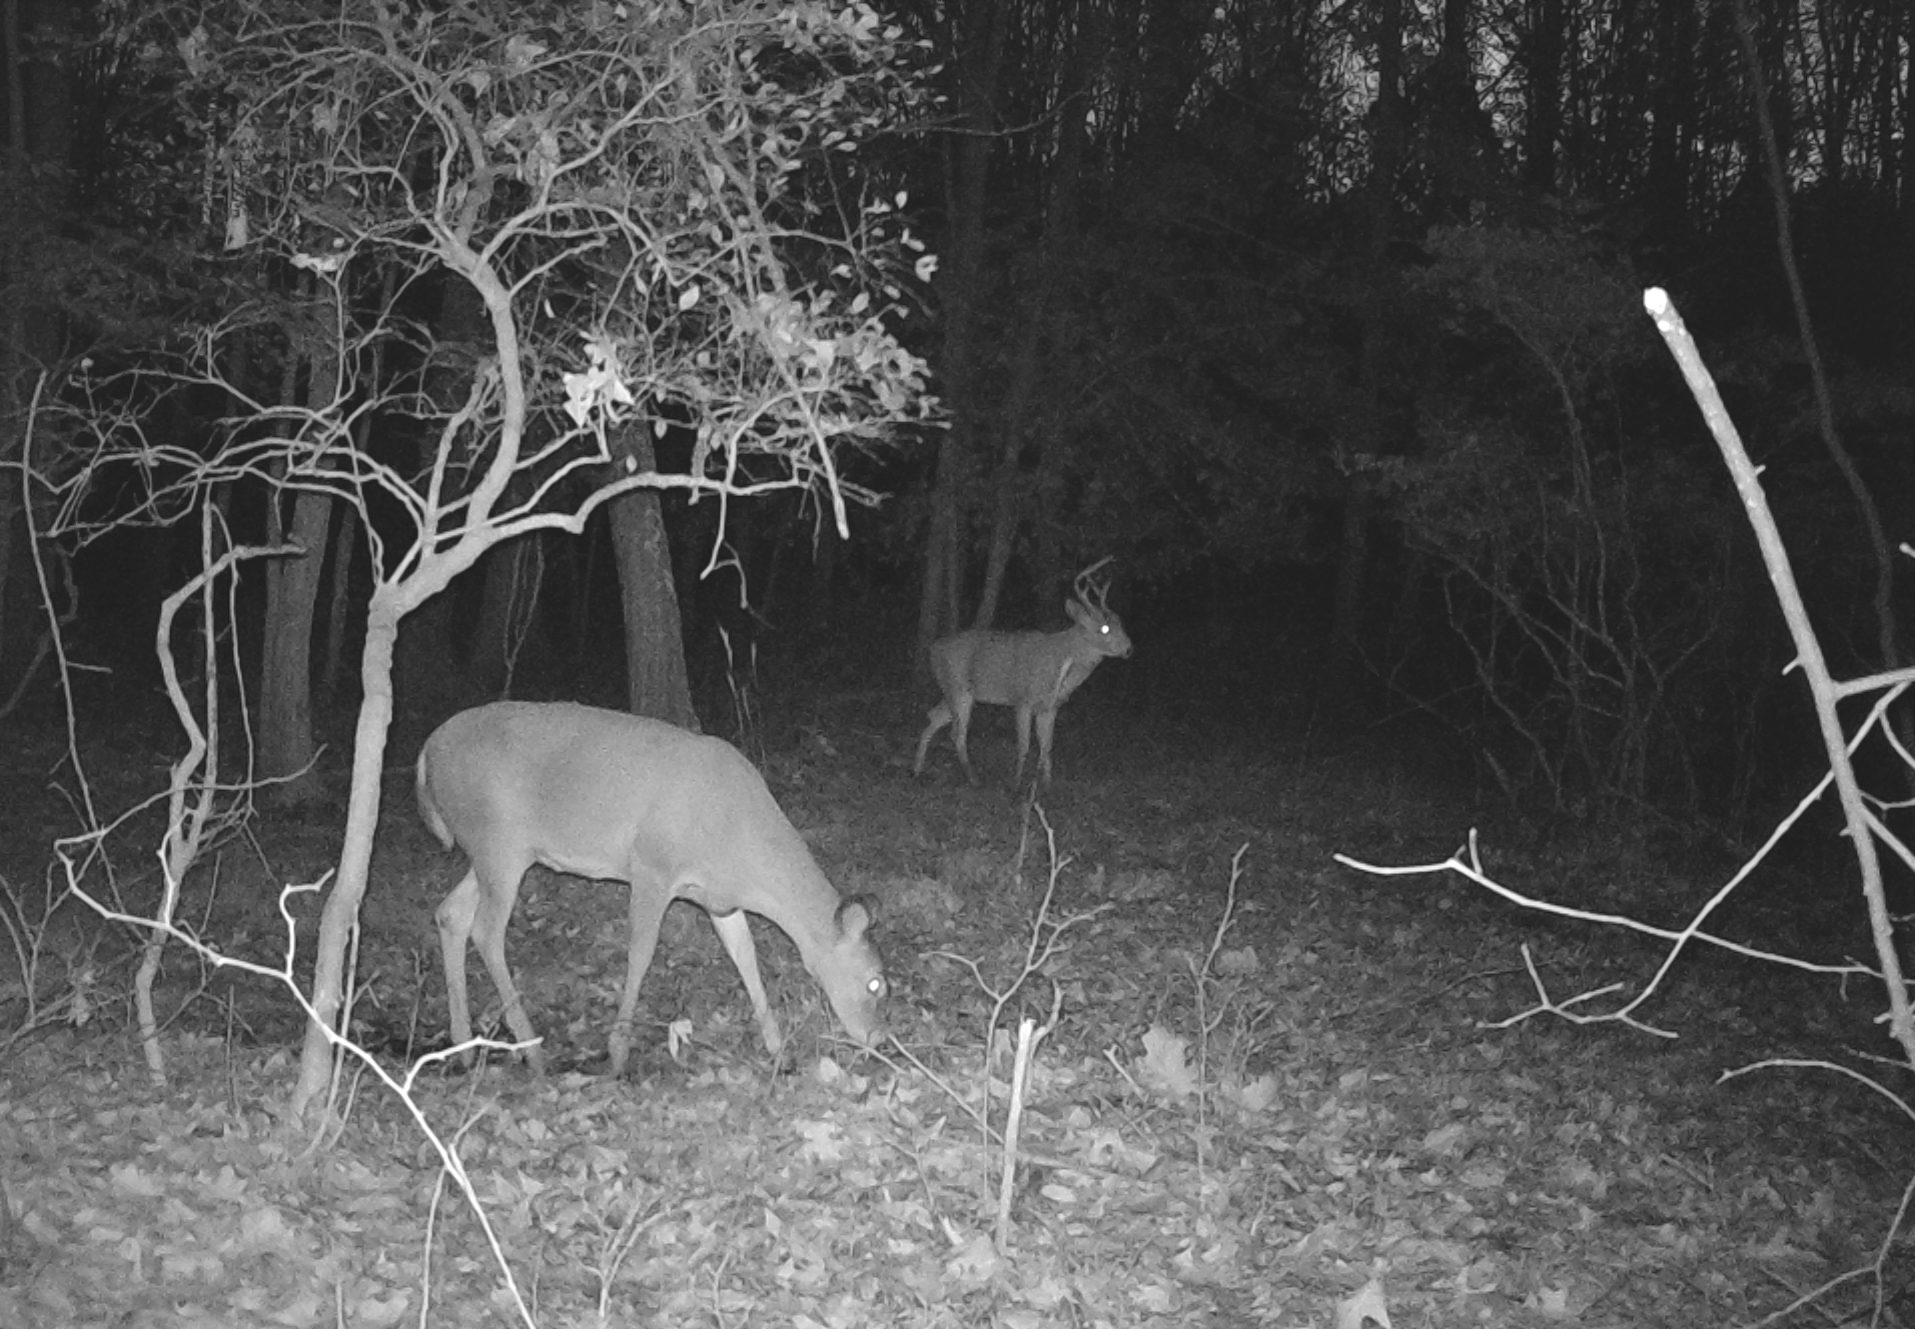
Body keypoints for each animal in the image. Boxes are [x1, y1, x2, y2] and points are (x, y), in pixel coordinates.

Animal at [419, 704, 880, 1080]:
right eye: (876, 983)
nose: (879, 1041)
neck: (741, 851)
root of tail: (426, 753)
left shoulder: (719, 900)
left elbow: (745, 956)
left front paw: (778, 1049)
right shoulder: (652, 866)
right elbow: (641, 952)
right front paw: (618, 1052)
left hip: (494, 852)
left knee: (450, 914)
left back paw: (462, 1048)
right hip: (499, 841)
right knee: (485, 931)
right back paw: (532, 1051)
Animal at [907, 555, 1126, 785]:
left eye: (1121, 623)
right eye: (1104, 629)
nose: (1129, 648)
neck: (1062, 662)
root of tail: (933, 649)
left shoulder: (1050, 708)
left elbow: (1047, 748)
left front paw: (1046, 785)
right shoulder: (1023, 700)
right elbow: (1024, 745)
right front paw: (1017, 783)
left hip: (953, 692)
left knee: (933, 717)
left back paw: (917, 769)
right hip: (958, 688)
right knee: (956, 733)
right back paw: (974, 779)